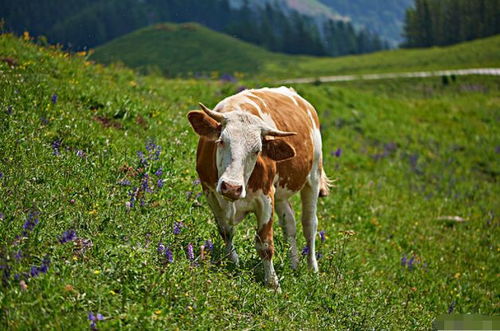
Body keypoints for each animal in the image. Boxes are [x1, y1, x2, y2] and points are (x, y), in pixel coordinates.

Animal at [186, 87, 330, 292]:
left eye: (257, 150)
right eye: (221, 141)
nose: (232, 187)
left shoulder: (265, 199)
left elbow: (265, 245)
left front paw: (273, 284)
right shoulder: (210, 193)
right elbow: (226, 231)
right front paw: (234, 262)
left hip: (313, 176)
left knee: (309, 225)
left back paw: (313, 269)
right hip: (281, 192)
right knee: (289, 224)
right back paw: (294, 264)